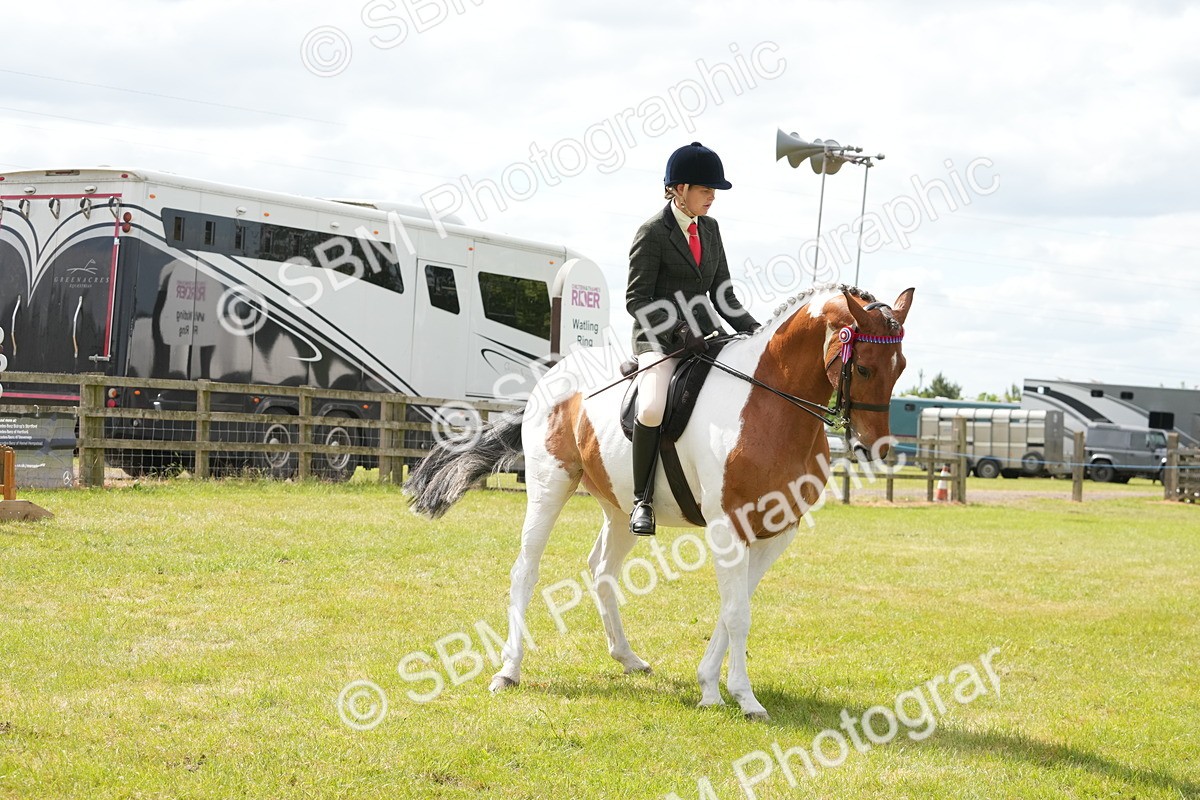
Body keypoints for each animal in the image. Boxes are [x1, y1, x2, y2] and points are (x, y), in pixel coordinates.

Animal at [405, 283, 914, 720]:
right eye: (863, 367)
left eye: (902, 366)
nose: (874, 449)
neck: (771, 406)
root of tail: (551, 379)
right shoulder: (728, 526)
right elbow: (737, 615)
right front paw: (744, 698)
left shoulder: (777, 531)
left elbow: (734, 608)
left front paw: (710, 686)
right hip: (550, 486)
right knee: (525, 571)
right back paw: (508, 671)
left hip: (619, 505)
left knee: (602, 569)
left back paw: (628, 658)